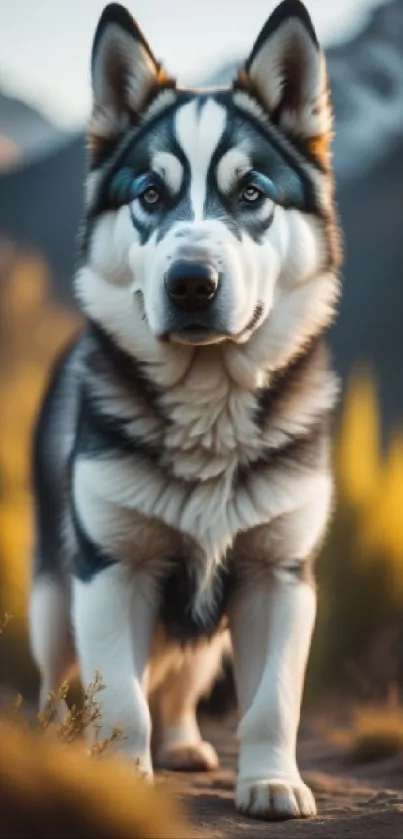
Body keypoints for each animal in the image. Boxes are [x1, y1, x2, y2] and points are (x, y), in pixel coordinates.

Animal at [30, 0, 342, 820]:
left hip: (208, 636)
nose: (192, 283)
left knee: (179, 685)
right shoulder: (110, 570)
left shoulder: (280, 576)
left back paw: (180, 744)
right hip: (52, 592)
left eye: (251, 193)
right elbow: (118, 699)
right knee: (57, 679)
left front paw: (271, 780)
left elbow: (272, 704)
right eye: (149, 194)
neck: (210, 411)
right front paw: (115, 773)